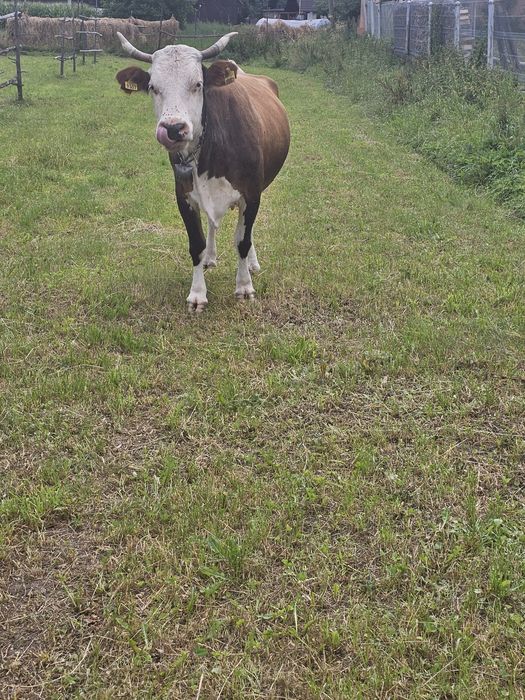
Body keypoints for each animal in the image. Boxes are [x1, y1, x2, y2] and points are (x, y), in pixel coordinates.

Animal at [115, 32, 290, 312]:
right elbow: (196, 244)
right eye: (153, 87)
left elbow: (242, 241)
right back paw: (210, 256)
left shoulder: (252, 193)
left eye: (197, 84)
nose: (173, 128)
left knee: (246, 232)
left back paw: (252, 264)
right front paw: (197, 292)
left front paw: (244, 285)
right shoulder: (184, 194)